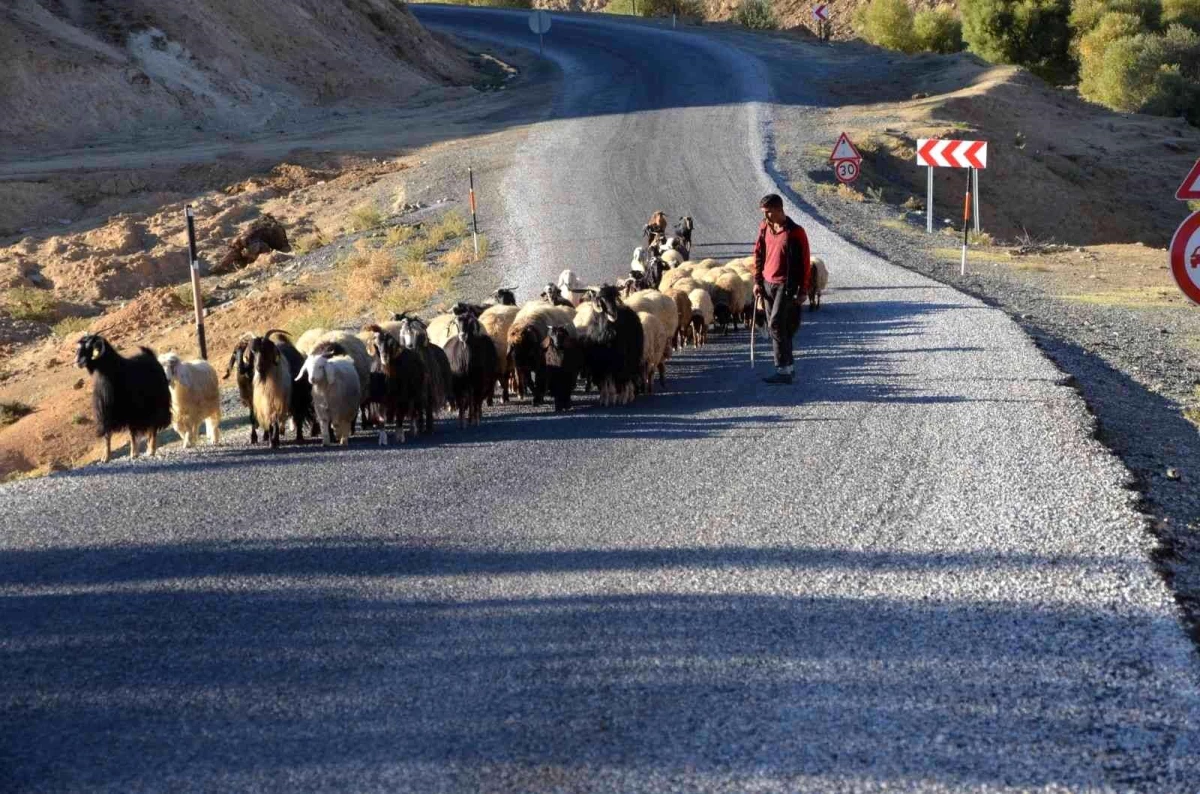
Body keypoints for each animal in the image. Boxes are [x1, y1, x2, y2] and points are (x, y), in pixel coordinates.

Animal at [75, 333, 171, 462]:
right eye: (79, 347)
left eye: (89, 347)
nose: (77, 361)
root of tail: (151, 356)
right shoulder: (106, 414)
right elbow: (107, 435)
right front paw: (105, 457)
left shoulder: (131, 413)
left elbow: (132, 434)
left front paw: (133, 454)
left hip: (157, 405)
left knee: (153, 427)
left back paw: (151, 450)